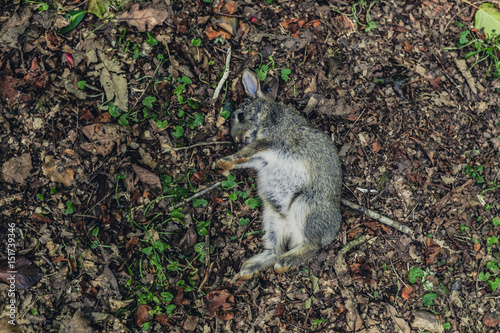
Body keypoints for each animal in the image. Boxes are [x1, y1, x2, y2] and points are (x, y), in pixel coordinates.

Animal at [217, 68, 342, 278]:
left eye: (240, 115)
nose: (237, 140)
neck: (264, 113)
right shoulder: (261, 160)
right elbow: (246, 160)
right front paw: (224, 164)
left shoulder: (271, 138)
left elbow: (248, 151)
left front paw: (223, 160)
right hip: (271, 219)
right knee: (275, 250)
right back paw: (248, 269)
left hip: (304, 205)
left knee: (312, 246)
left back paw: (284, 263)